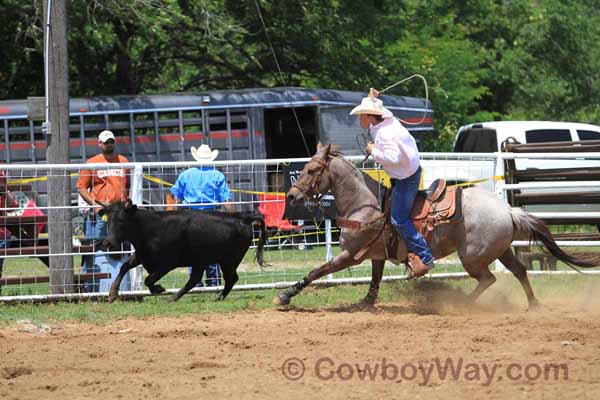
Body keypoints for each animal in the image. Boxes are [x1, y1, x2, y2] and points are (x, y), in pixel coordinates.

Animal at [274, 145, 596, 308]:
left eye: (312, 170)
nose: (291, 197)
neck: (364, 204)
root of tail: (507, 209)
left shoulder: (351, 255)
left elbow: (318, 271)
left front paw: (286, 295)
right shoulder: (376, 254)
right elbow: (375, 280)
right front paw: (365, 303)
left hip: (473, 257)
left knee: (489, 279)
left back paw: (463, 303)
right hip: (501, 250)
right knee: (518, 271)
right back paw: (534, 304)